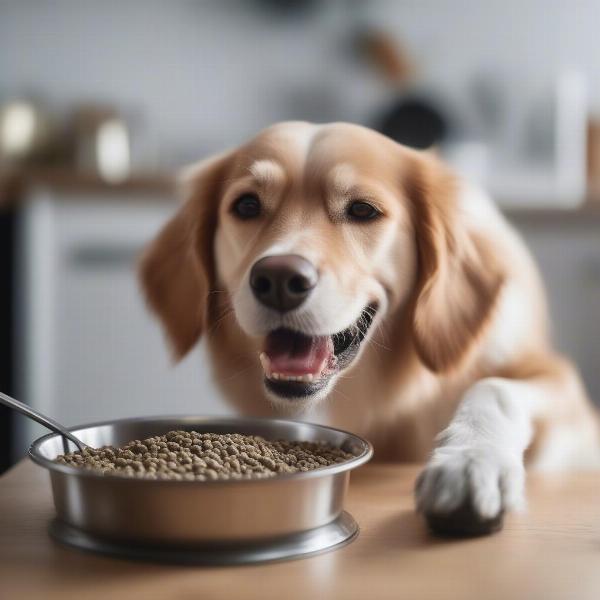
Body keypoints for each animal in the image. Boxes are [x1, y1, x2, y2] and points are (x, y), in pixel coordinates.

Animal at [137, 122, 600, 536]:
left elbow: (495, 388)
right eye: (247, 206)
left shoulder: (568, 398)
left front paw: (469, 463)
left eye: (362, 210)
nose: (279, 280)